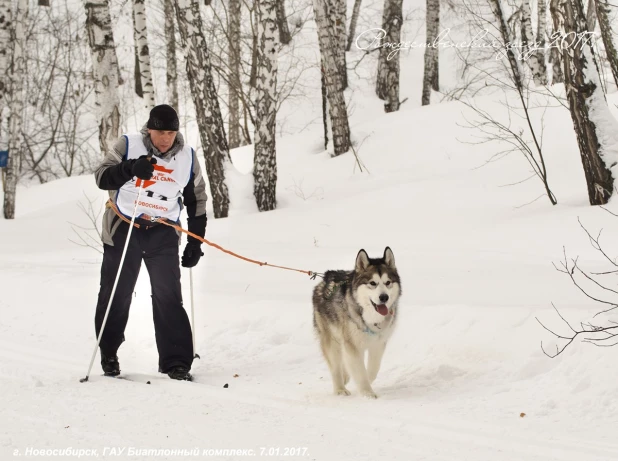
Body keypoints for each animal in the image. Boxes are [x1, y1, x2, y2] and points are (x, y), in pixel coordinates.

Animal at [312, 246, 400, 398]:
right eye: (372, 283)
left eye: (388, 282)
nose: (384, 297)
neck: (370, 317)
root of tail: (326, 278)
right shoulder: (352, 344)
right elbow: (359, 370)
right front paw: (367, 392)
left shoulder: (378, 343)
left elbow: (372, 369)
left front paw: (366, 383)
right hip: (331, 340)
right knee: (335, 367)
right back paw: (340, 388)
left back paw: (346, 377)